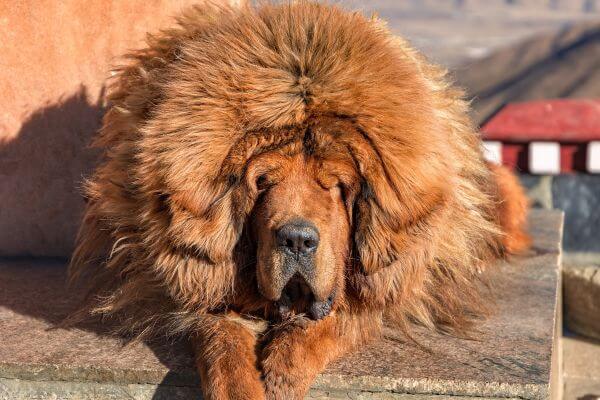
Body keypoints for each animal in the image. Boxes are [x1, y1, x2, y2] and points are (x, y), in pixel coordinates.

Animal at [70, 1, 528, 398]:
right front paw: (241, 382)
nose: (296, 240)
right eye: (263, 183)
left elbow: (341, 320)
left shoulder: (385, 285)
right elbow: (218, 335)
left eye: (338, 186)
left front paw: (284, 369)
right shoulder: (196, 280)